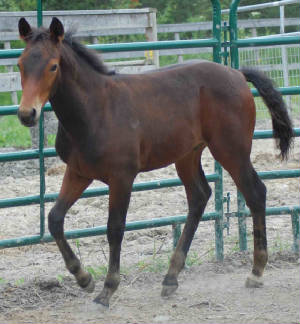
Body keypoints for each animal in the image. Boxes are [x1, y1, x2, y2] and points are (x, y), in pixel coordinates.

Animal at [16, 17, 292, 306]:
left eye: (53, 66)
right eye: (21, 64)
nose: (27, 114)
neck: (95, 109)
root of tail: (237, 74)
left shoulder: (122, 176)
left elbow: (115, 228)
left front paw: (108, 288)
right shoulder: (78, 171)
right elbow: (55, 219)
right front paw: (84, 278)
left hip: (231, 150)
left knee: (255, 192)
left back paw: (256, 272)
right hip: (188, 155)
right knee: (199, 196)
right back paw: (171, 277)